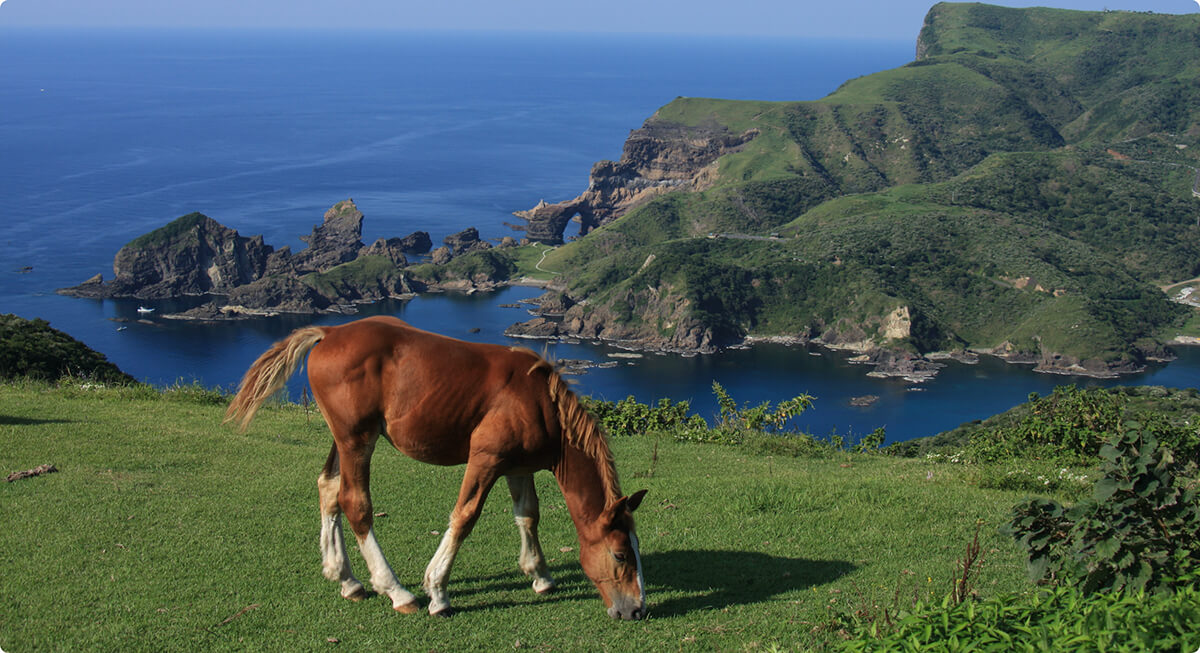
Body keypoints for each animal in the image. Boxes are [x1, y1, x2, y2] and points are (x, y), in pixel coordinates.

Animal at [225, 314, 648, 619]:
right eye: (620, 555)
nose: (637, 610)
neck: (540, 403)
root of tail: (330, 332)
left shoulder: (518, 466)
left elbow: (528, 515)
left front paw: (540, 574)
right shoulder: (486, 459)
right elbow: (464, 516)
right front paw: (438, 591)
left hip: (341, 438)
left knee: (328, 489)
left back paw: (346, 579)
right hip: (357, 440)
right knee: (355, 503)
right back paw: (395, 590)